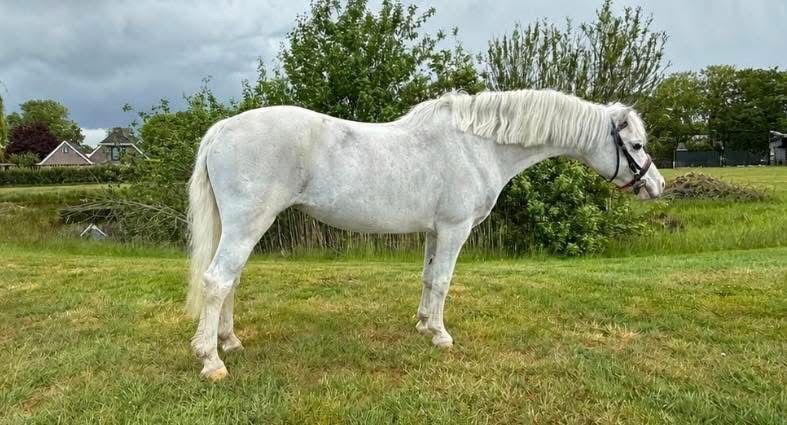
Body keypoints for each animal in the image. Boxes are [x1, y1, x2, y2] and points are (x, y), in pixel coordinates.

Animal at [186, 89, 665, 380]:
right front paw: (440, 335)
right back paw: (212, 361)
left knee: (230, 282)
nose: (655, 186)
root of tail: (223, 128)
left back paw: (230, 342)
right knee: (218, 282)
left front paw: (422, 324)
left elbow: (428, 279)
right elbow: (444, 281)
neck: (477, 146)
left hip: (239, 226)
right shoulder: (454, 229)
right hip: (248, 223)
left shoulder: (435, 232)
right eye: (636, 145)